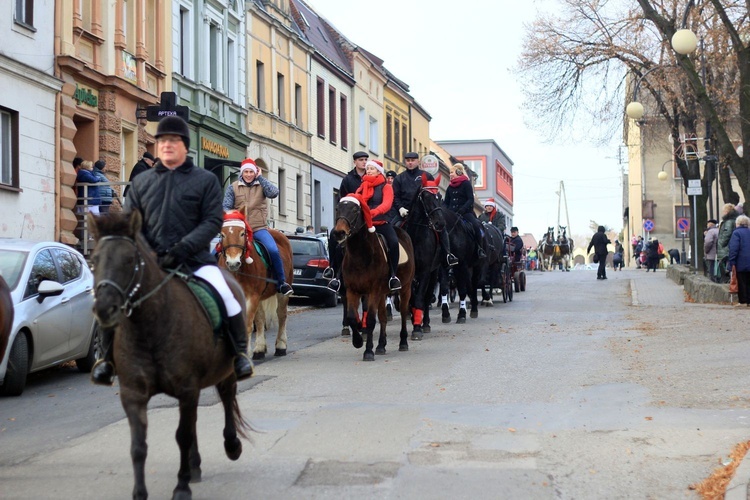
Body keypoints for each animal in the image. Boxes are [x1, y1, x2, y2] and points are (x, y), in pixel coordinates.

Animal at [88, 211, 253, 500]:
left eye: (129, 260)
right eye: (95, 259)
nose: (104, 309)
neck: (149, 327)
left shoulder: (187, 388)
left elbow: (182, 437)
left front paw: (181, 487)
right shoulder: (133, 394)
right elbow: (138, 445)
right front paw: (140, 493)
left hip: (226, 372)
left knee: (226, 397)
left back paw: (231, 446)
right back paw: (195, 465)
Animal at [217, 211, 294, 360]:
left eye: (242, 233)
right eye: (222, 234)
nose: (233, 263)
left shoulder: (251, 296)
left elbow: (247, 324)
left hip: (281, 291)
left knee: (281, 315)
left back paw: (281, 346)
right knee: (260, 319)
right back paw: (259, 349)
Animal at [334, 194, 418, 360]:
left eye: (355, 210)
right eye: (337, 208)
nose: (339, 232)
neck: (360, 256)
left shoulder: (373, 290)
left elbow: (371, 320)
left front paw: (368, 351)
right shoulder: (352, 290)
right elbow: (353, 317)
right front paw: (358, 341)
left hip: (404, 288)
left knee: (403, 312)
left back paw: (403, 342)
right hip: (383, 293)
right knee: (383, 317)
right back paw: (381, 345)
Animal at [400, 174, 446, 342]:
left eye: (439, 197)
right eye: (426, 196)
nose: (440, 223)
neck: (415, 236)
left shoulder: (426, 271)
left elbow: (420, 298)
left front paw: (417, 328)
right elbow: (412, 299)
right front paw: (414, 320)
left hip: (434, 273)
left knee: (426, 297)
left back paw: (425, 323)